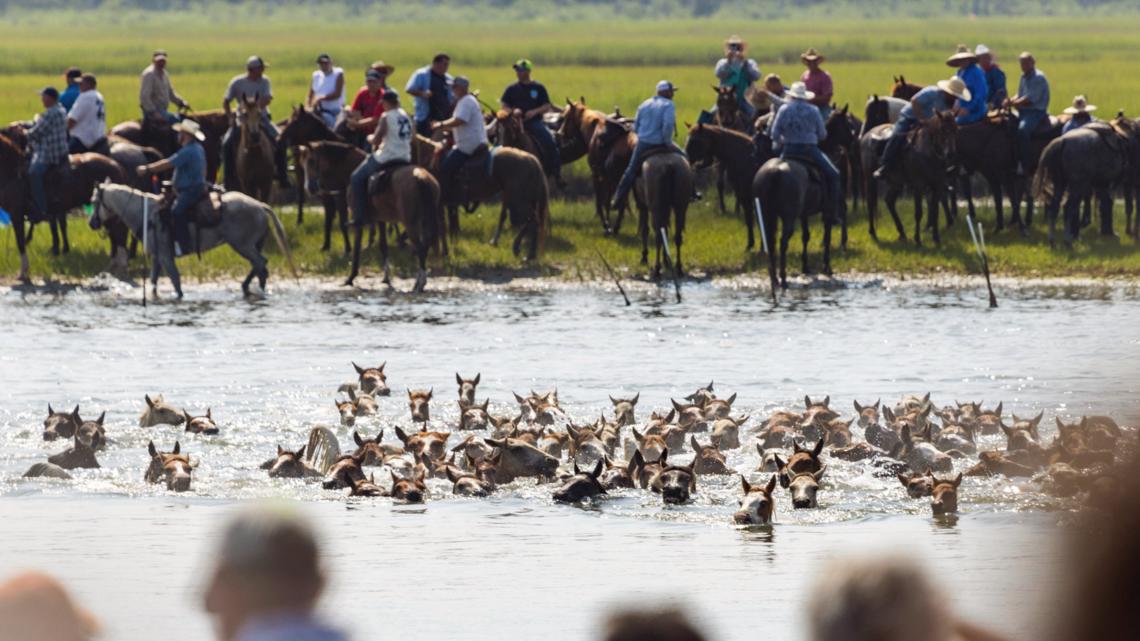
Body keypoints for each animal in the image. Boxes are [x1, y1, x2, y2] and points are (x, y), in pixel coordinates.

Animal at [0, 133, 125, 278]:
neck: (14, 172)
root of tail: (116, 166)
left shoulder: (16, 215)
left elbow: (20, 242)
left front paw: (23, 272)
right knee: (115, 235)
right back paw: (113, 266)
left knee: (118, 234)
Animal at [89, 181, 294, 298]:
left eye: (94, 201)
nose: (92, 223)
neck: (146, 214)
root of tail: (260, 205)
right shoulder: (157, 257)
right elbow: (154, 281)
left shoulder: (166, 256)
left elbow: (176, 281)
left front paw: (178, 297)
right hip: (253, 245)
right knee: (259, 266)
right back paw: (249, 287)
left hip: (242, 245)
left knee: (260, 264)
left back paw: (254, 290)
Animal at [554, 95, 633, 233]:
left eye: (565, 117)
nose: (559, 133)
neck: (593, 129)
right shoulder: (607, 178)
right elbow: (607, 201)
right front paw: (609, 225)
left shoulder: (597, 175)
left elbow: (600, 202)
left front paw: (606, 225)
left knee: (623, 202)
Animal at [857, 111, 957, 242]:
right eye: (943, 129)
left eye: (956, 129)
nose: (950, 153)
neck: (927, 152)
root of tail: (867, 135)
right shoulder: (918, 186)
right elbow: (918, 213)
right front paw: (917, 239)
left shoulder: (937, 184)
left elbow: (935, 210)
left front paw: (936, 238)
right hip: (870, 179)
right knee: (870, 202)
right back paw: (872, 232)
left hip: (896, 182)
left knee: (889, 201)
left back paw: (901, 232)